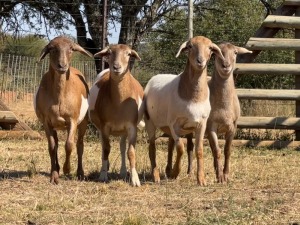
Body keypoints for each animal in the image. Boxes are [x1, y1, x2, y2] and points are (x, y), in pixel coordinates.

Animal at [33, 36, 92, 184]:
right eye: (52, 49)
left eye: (71, 49)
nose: (62, 66)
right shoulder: (46, 122)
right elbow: (52, 147)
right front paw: (54, 175)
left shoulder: (73, 120)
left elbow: (69, 145)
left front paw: (67, 169)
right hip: (55, 125)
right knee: (57, 144)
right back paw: (57, 169)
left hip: (83, 121)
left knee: (80, 144)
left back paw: (80, 173)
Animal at [88, 43, 144, 186]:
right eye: (109, 53)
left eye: (129, 54)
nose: (116, 67)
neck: (119, 103)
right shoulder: (104, 126)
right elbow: (106, 149)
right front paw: (103, 175)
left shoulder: (131, 126)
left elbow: (131, 152)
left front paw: (135, 179)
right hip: (101, 128)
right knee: (104, 146)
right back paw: (106, 166)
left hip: (123, 130)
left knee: (122, 147)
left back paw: (123, 171)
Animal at [144, 36, 224, 185]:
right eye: (190, 46)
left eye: (210, 48)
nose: (200, 61)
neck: (194, 98)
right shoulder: (174, 123)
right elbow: (180, 147)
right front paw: (176, 173)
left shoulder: (201, 124)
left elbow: (198, 150)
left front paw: (201, 179)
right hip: (150, 121)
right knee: (152, 147)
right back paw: (156, 176)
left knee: (170, 145)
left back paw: (167, 170)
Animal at [207, 42, 252, 183]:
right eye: (216, 53)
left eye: (235, 52)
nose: (226, 65)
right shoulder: (211, 126)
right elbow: (217, 151)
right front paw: (220, 177)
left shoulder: (233, 126)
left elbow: (227, 150)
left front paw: (225, 174)